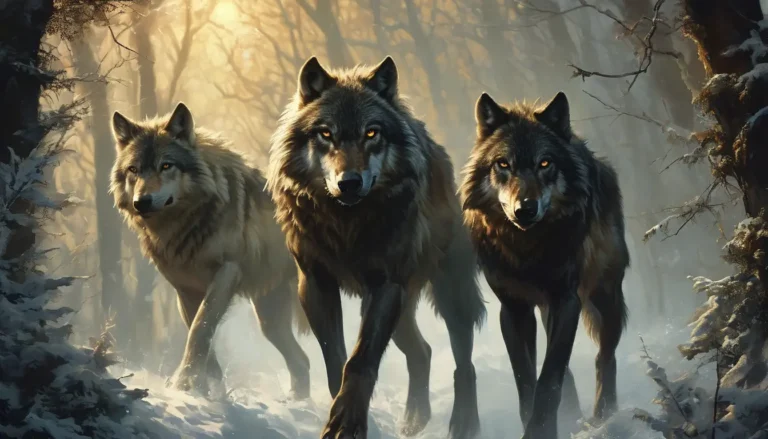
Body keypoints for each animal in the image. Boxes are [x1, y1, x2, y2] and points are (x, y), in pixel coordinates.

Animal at [109, 103, 311, 398]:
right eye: (134, 169)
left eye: (166, 165)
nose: (141, 202)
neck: (185, 227)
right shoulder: (185, 290)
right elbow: (202, 336)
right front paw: (208, 390)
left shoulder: (227, 273)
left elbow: (201, 329)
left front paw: (185, 382)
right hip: (269, 320)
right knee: (301, 361)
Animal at [266, 56, 486, 439]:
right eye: (326, 133)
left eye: (372, 133)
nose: (350, 182)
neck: (347, 225)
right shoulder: (316, 284)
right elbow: (336, 363)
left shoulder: (385, 285)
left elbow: (360, 362)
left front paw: (347, 424)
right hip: (401, 310)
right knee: (423, 352)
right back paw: (415, 419)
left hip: (448, 293)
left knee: (464, 361)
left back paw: (464, 423)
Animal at [460, 91, 630, 439]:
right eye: (503, 164)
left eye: (545, 163)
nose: (525, 208)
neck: (527, 249)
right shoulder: (513, 309)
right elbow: (526, 378)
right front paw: (536, 422)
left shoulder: (566, 302)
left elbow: (549, 377)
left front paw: (541, 429)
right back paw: (573, 415)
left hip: (605, 299)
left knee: (604, 358)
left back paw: (604, 415)